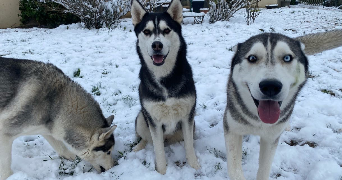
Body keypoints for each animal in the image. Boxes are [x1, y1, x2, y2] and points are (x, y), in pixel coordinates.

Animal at [130, 0, 200, 174]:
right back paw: (138, 147)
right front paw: (161, 172)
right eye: (146, 31)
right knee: (147, 139)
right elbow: (158, 149)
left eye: (166, 30)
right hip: (141, 118)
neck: (165, 78)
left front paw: (194, 166)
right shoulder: (153, 120)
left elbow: (189, 145)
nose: (157, 45)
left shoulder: (188, 116)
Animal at [224, 29, 342, 180]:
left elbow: (264, 169)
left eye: (287, 58)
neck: (259, 121)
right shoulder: (232, 129)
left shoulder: (271, 138)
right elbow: (234, 169)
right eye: (252, 58)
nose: (270, 86)